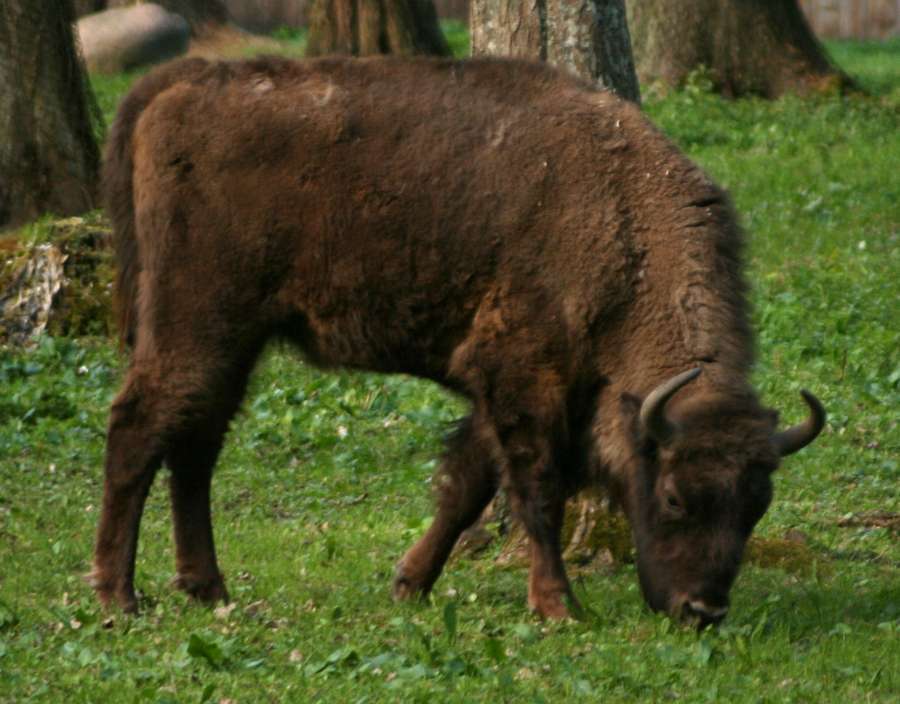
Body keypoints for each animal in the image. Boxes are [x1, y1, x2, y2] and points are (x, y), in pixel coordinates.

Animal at [91, 55, 824, 625]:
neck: (624, 223)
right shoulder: (524, 377)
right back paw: (117, 597)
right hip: (195, 326)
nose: (702, 611)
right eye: (674, 497)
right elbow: (536, 490)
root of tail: (181, 82)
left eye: (756, 507)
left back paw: (207, 589)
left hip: (236, 342)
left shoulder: (503, 388)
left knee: (195, 447)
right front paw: (559, 606)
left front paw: (409, 583)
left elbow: (466, 483)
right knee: (138, 428)